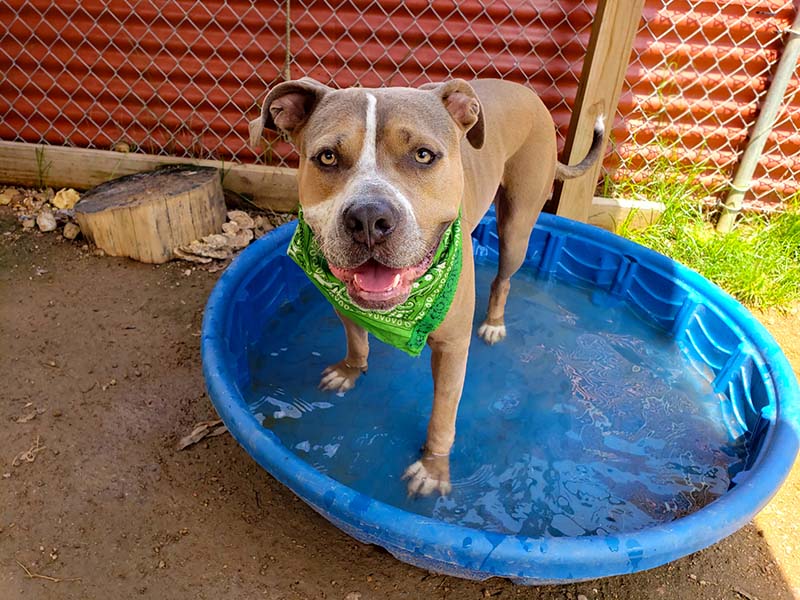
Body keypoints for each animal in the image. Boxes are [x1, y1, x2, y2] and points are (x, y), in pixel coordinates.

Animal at [248, 76, 600, 496]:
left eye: (423, 155)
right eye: (328, 157)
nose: (369, 217)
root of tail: (525, 91)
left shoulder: (452, 348)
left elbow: (443, 414)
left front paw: (433, 467)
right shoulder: (341, 299)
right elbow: (356, 338)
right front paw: (351, 370)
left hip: (517, 226)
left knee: (504, 277)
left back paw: (494, 322)